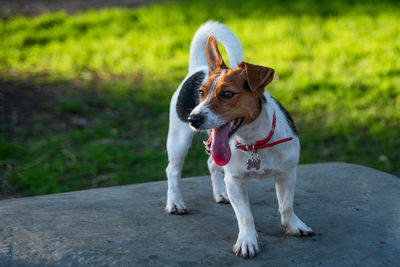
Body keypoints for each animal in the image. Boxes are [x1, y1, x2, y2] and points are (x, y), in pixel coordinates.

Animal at [164, 21, 314, 260]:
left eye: (227, 94)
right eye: (201, 92)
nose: (193, 118)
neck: (254, 142)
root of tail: (197, 68)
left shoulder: (287, 174)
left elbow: (286, 205)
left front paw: (293, 225)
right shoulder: (235, 180)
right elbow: (245, 216)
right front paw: (247, 241)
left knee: (211, 164)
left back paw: (219, 193)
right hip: (178, 140)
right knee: (173, 171)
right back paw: (175, 202)